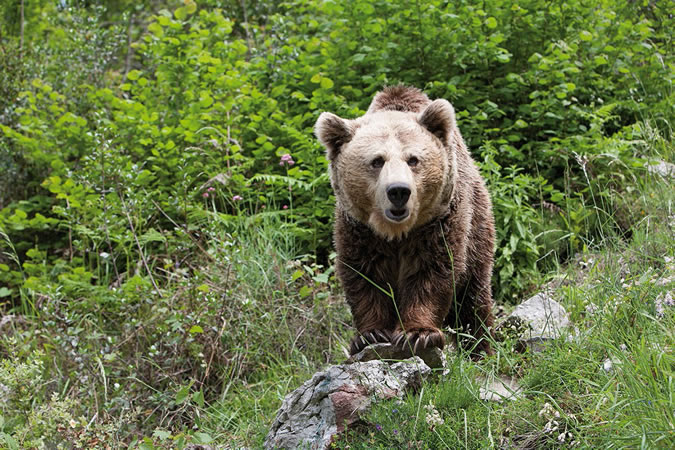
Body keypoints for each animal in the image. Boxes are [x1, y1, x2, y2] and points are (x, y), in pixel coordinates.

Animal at [315, 86, 495, 358]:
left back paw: (480, 348)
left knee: (472, 300)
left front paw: (418, 333)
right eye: (377, 160)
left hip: (478, 227)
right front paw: (370, 334)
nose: (398, 191)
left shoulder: (439, 222)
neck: (397, 232)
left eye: (413, 159)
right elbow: (364, 277)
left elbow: (432, 272)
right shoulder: (359, 230)